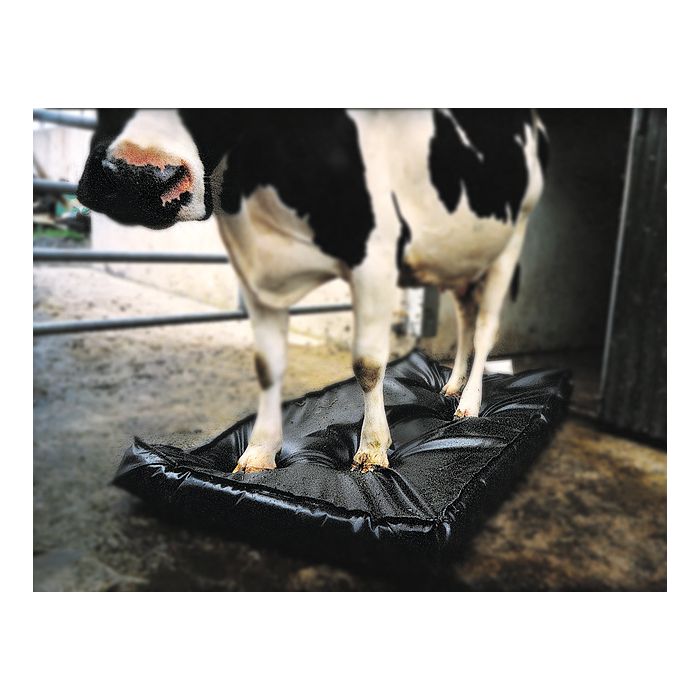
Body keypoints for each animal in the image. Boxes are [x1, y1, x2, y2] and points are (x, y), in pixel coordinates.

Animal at [77, 109, 548, 474]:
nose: (140, 178)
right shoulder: (253, 269)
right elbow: (267, 367)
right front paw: (259, 453)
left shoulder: (375, 259)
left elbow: (368, 364)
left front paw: (372, 450)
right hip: (456, 255)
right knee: (466, 317)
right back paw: (450, 386)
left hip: (512, 237)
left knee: (485, 328)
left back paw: (469, 404)